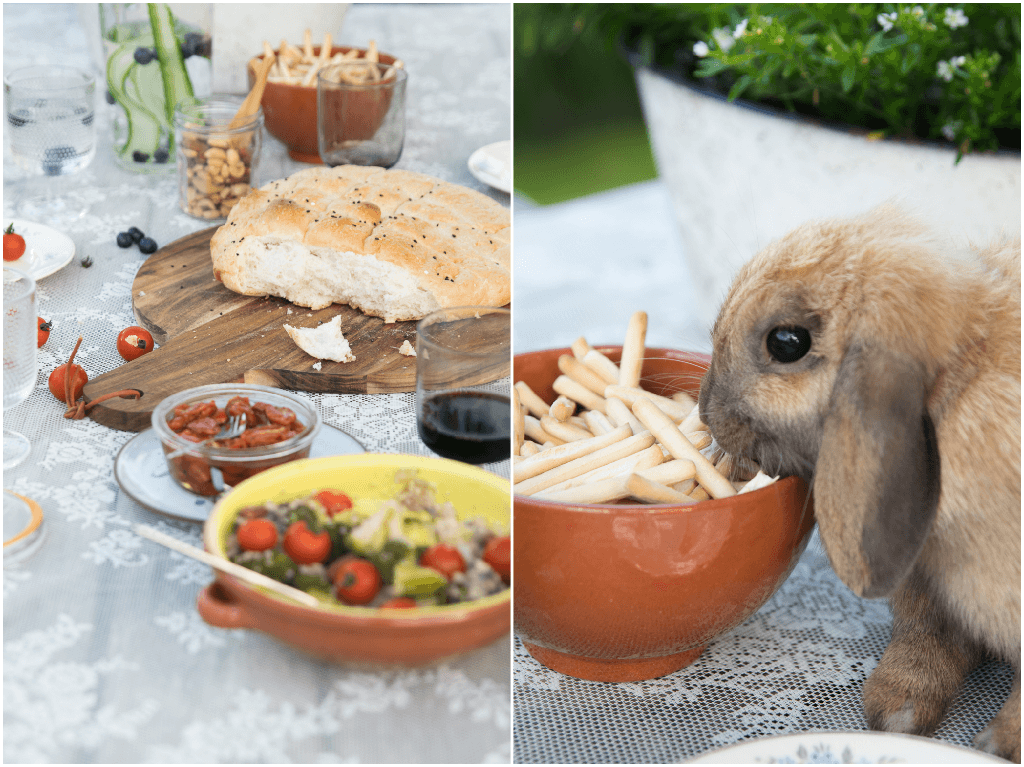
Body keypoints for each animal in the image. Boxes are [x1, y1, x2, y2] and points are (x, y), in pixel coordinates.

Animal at [700, 204, 1019, 761]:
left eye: (787, 342)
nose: (705, 410)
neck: (955, 391)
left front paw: (996, 743)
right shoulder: (926, 585)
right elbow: (926, 635)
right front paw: (897, 714)